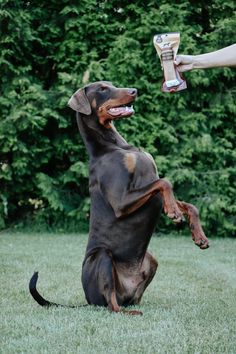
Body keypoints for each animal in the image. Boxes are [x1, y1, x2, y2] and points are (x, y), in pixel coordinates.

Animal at [29, 81, 208, 316]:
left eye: (112, 84)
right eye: (103, 89)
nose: (134, 91)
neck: (112, 145)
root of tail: (89, 300)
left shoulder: (148, 188)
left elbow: (189, 205)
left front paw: (199, 235)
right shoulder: (120, 201)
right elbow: (164, 182)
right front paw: (173, 211)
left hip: (150, 259)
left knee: (129, 299)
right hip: (102, 256)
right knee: (111, 305)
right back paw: (128, 312)